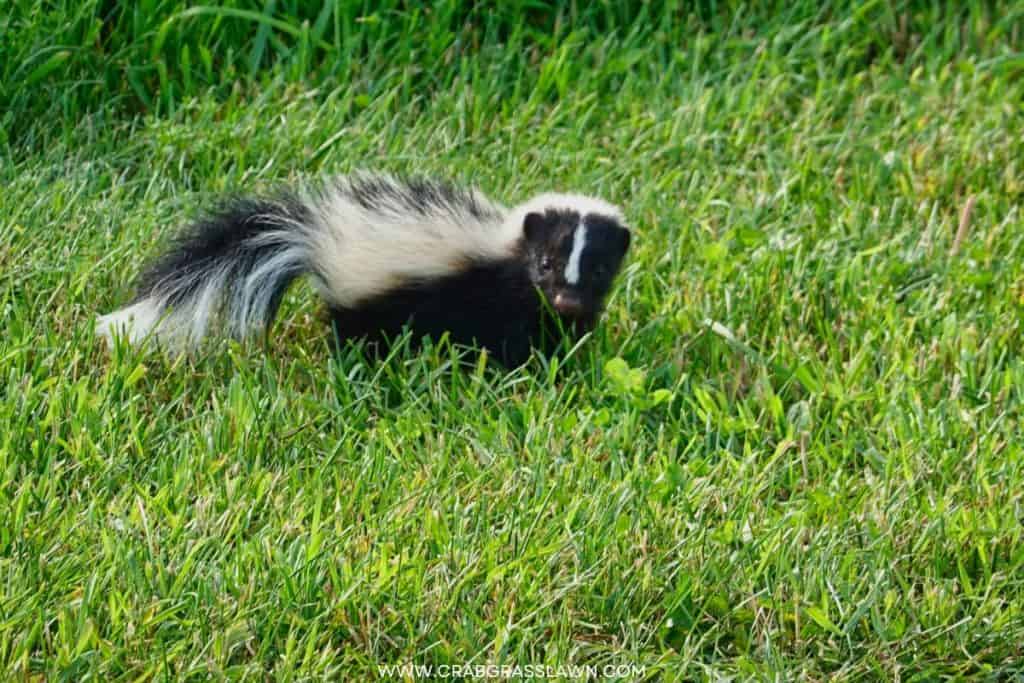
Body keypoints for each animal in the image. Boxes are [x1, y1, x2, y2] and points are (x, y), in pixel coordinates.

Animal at [101, 176, 630, 368]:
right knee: (351, 332)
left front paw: (568, 353)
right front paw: (530, 369)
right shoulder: (496, 296)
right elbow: (509, 341)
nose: (567, 300)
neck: (506, 248)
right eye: (545, 264)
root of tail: (315, 235)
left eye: (599, 269)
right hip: (362, 301)